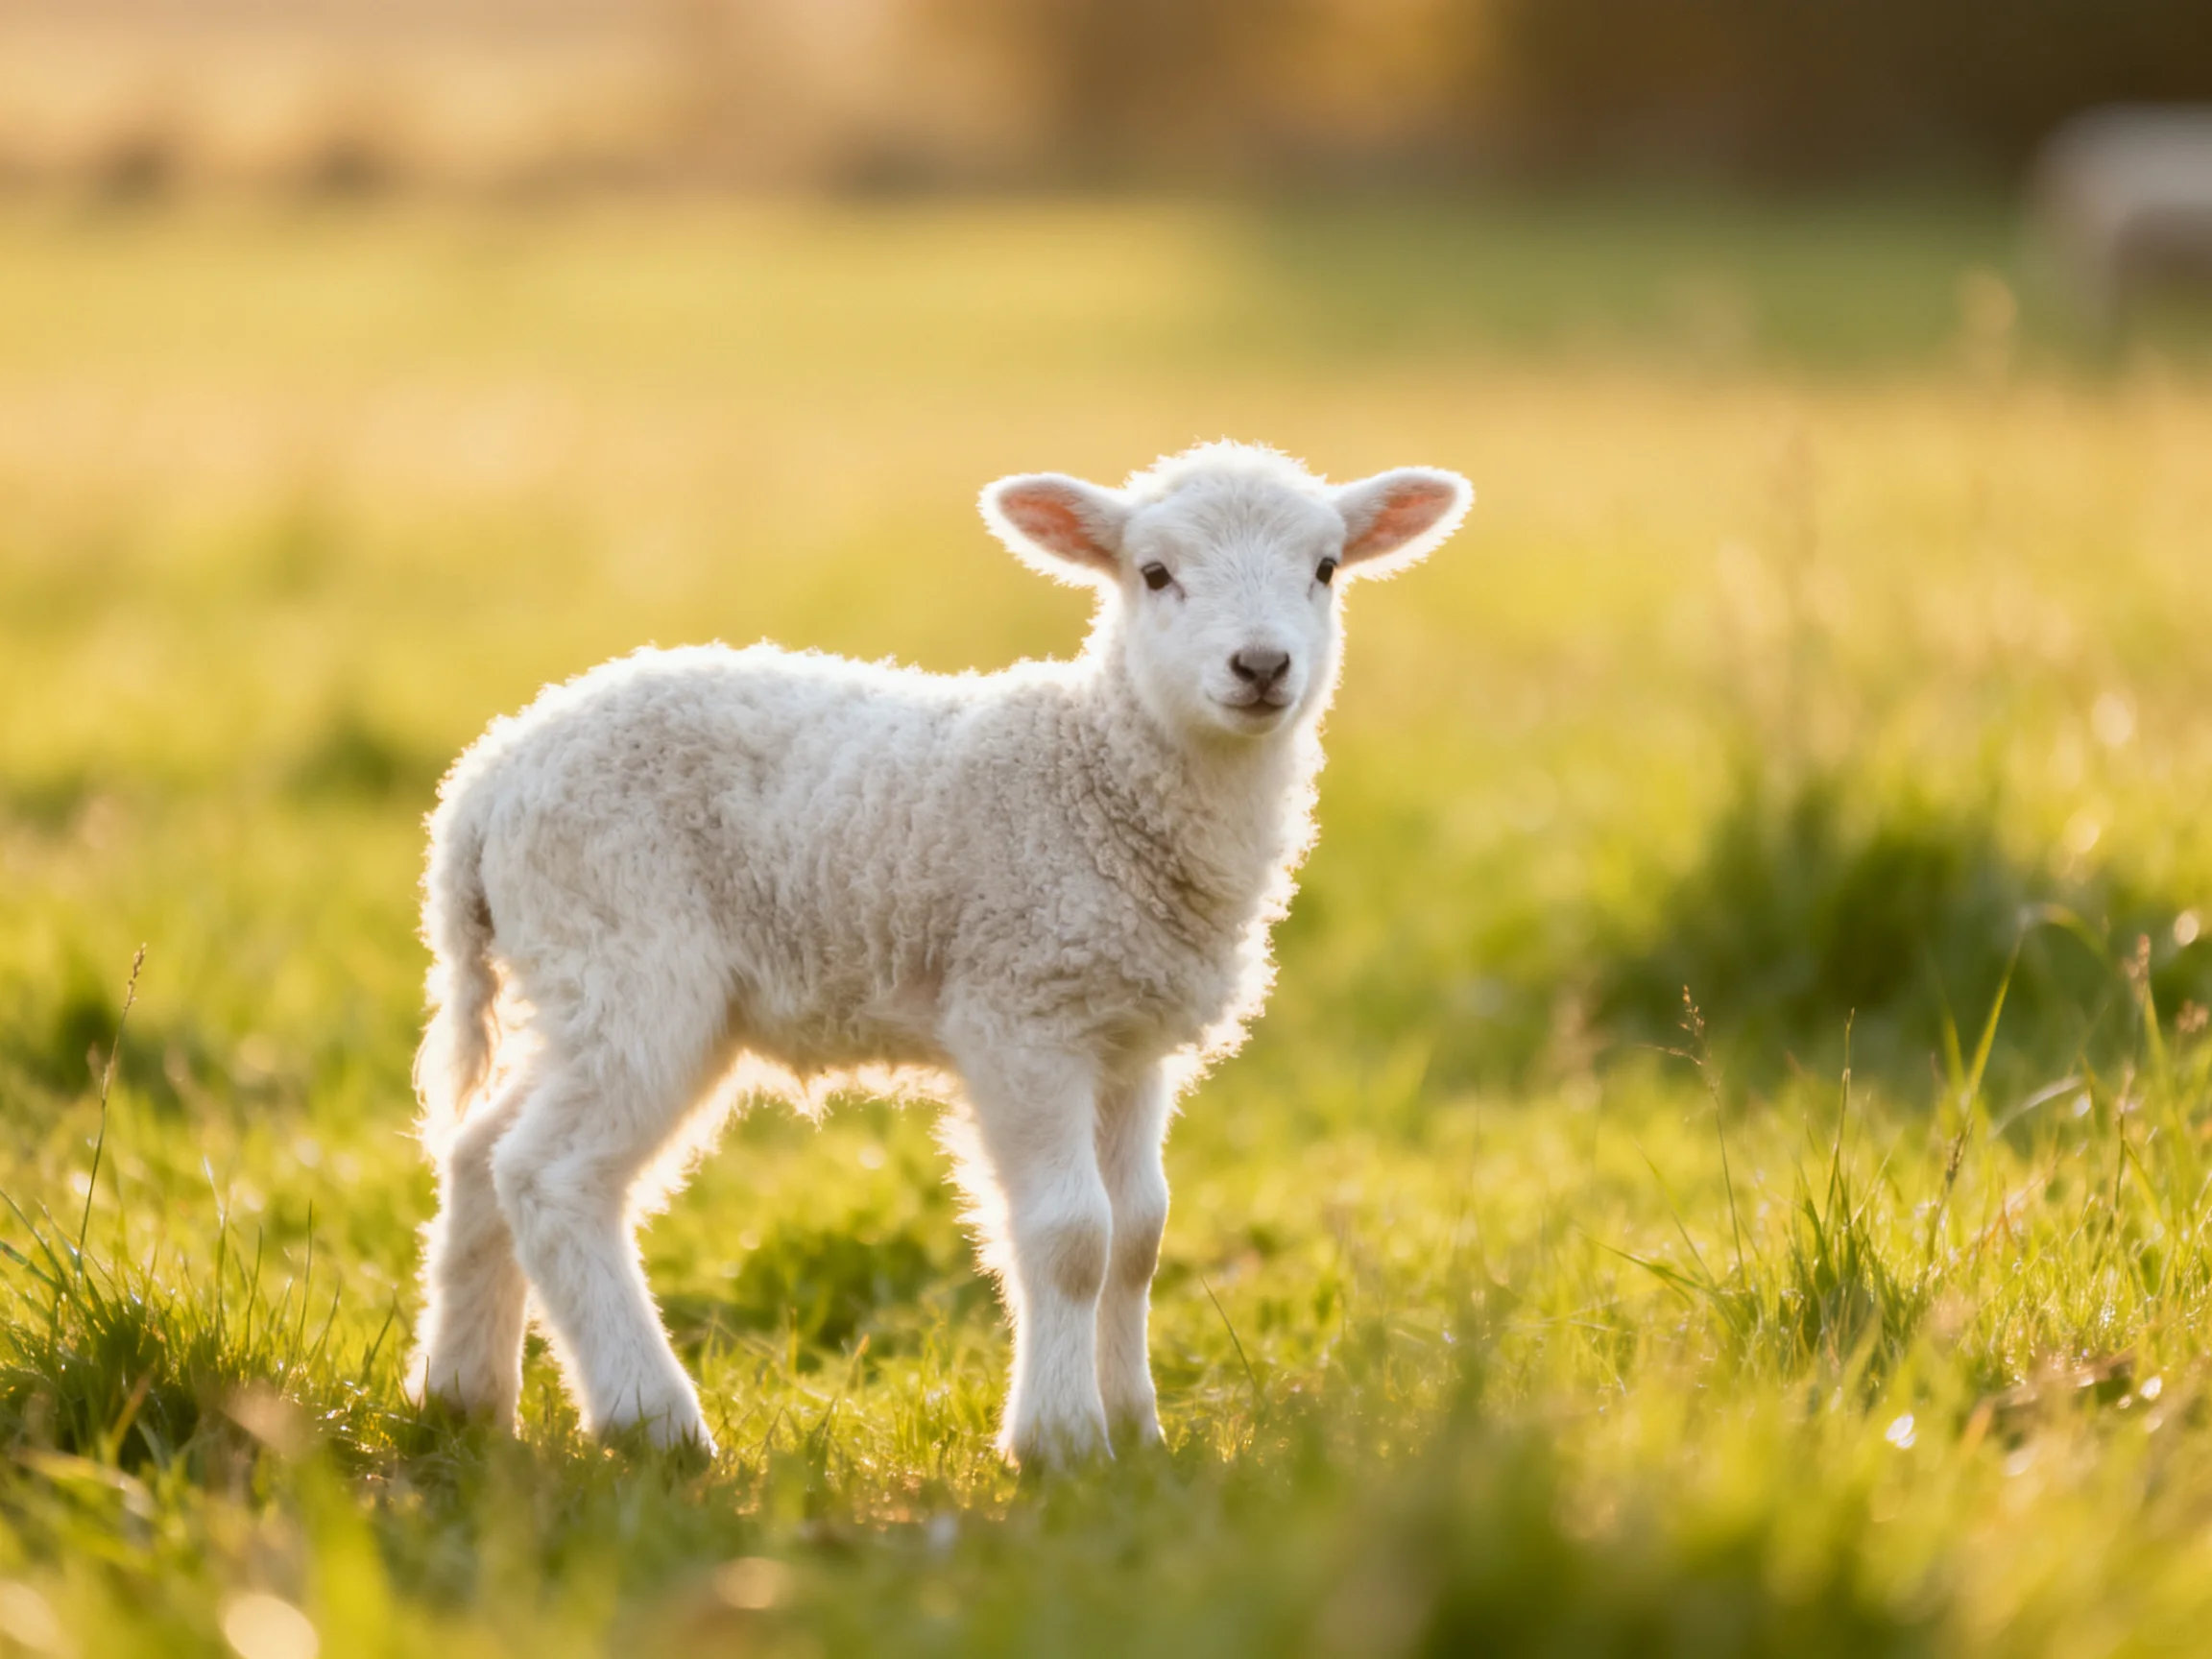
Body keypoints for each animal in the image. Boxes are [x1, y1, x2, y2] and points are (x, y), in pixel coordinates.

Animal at [405, 440, 1474, 1464]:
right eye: (1156, 572)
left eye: (1325, 568)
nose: (1260, 666)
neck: (1100, 774)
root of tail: (484, 783)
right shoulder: (1022, 1012)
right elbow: (1073, 1237)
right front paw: (1061, 1442)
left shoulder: (1129, 1037)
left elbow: (1138, 1235)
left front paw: (1136, 1428)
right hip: (632, 959)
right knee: (549, 1177)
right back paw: (652, 1422)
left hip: (577, 983)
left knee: (479, 1150)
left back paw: (461, 1398)